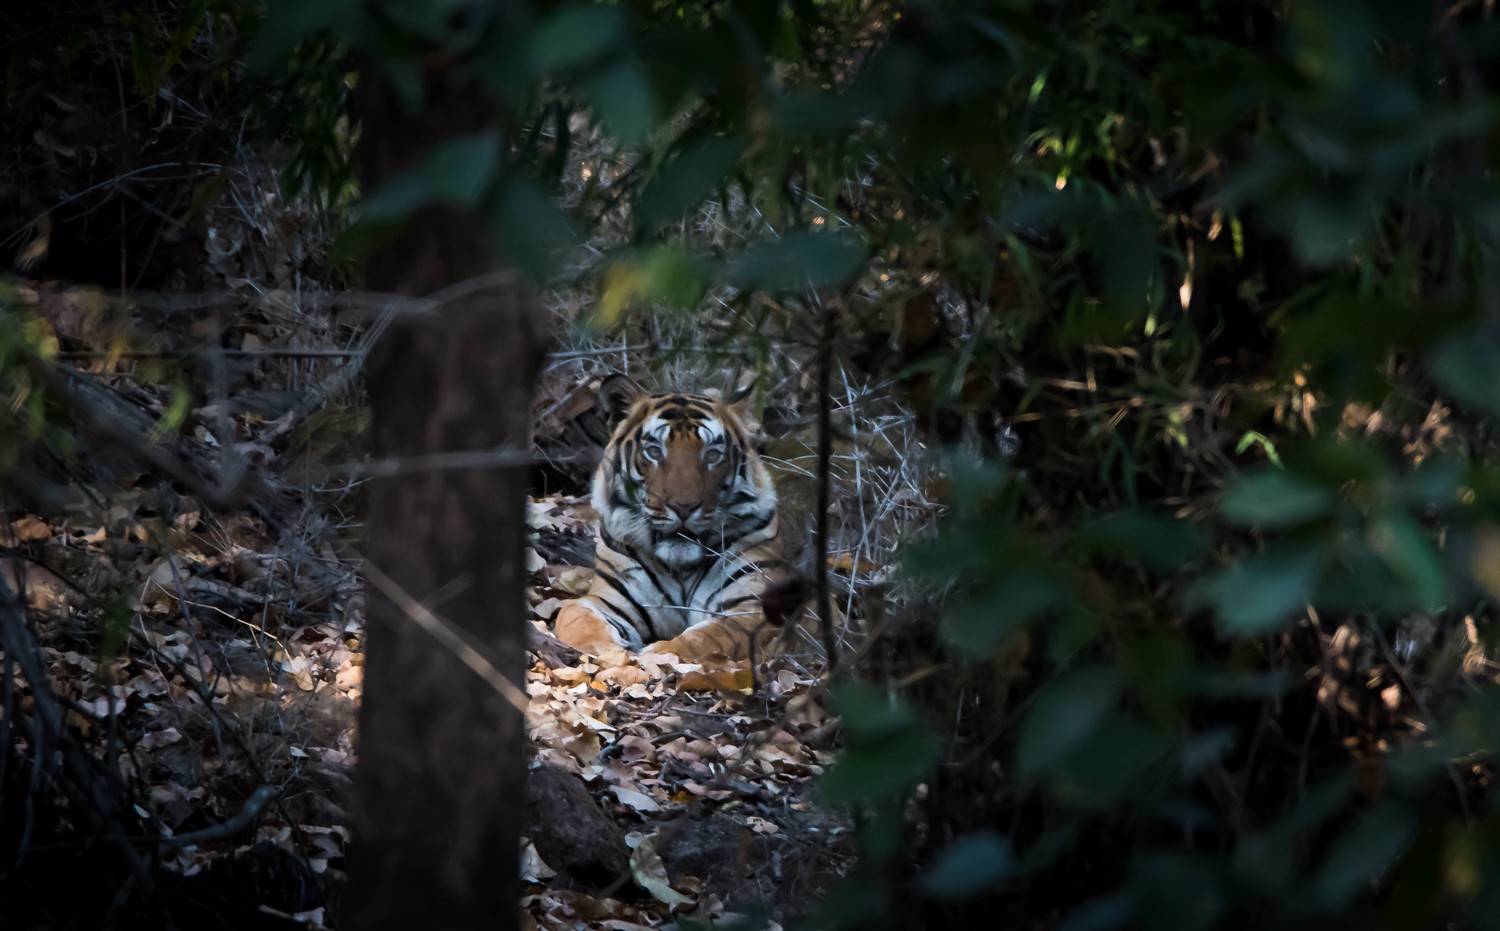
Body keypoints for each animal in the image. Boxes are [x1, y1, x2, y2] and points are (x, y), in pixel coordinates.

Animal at [552, 378, 789, 663]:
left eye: (712, 454)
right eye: (654, 451)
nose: (683, 507)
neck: (680, 567)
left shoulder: (752, 607)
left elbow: (708, 638)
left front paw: (659, 655)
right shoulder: (608, 598)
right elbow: (574, 616)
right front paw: (612, 653)